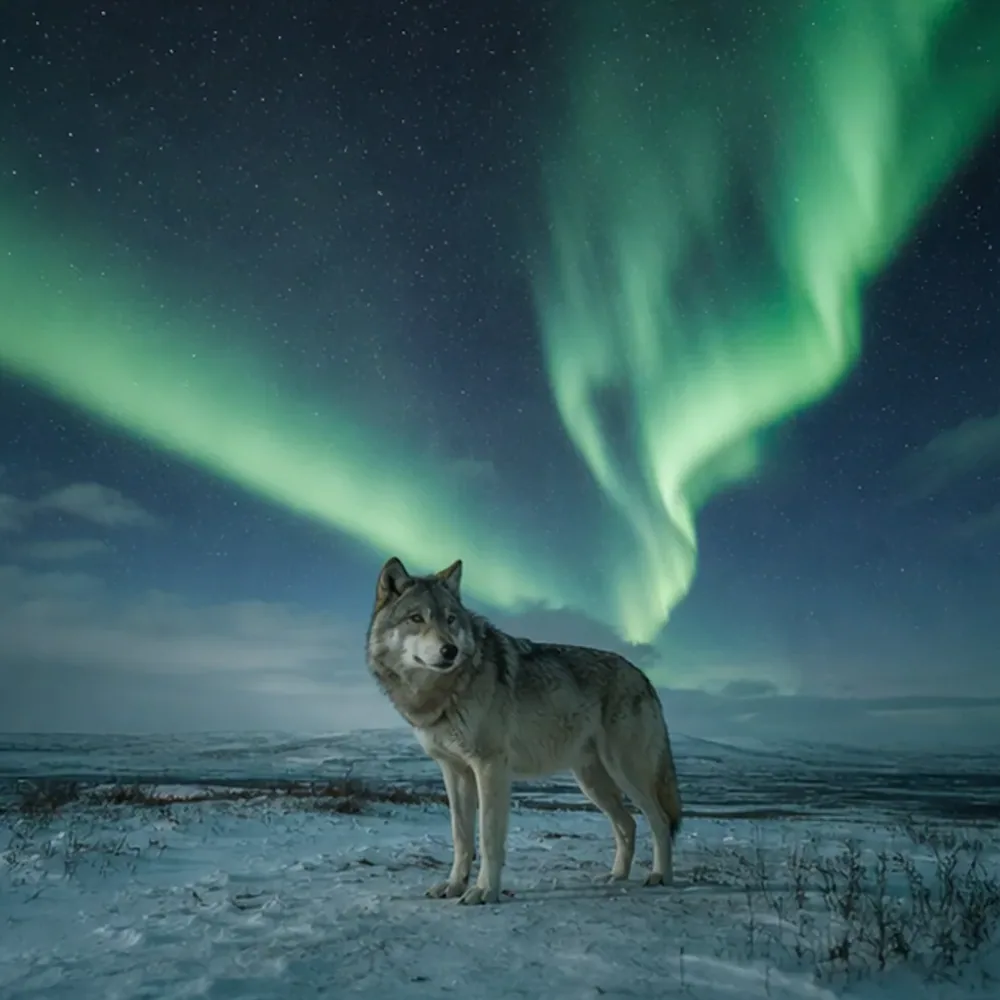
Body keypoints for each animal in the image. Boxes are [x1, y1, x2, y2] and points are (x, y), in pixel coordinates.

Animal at [364, 556, 683, 905]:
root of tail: (644, 677)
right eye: (416, 618)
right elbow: (461, 837)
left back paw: (660, 876)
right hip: (591, 783)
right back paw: (617, 876)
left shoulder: (490, 767)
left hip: (626, 772)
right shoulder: (454, 771)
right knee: (628, 825)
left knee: (660, 821)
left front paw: (484, 891)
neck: (445, 690)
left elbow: (488, 838)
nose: (450, 651)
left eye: (450, 620)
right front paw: (454, 885)